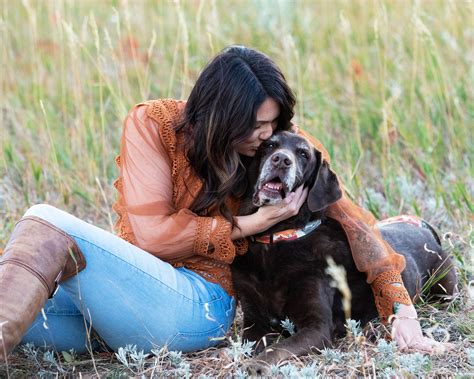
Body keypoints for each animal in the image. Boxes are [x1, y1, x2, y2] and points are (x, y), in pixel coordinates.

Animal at [231, 131, 458, 372]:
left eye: (303, 154)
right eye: (269, 145)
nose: (281, 160)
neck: (275, 240)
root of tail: (425, 228)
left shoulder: (317, 327)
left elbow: (278, 348)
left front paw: (257, 364)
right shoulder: (254, 320)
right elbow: (253, 341)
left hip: (445, 288)